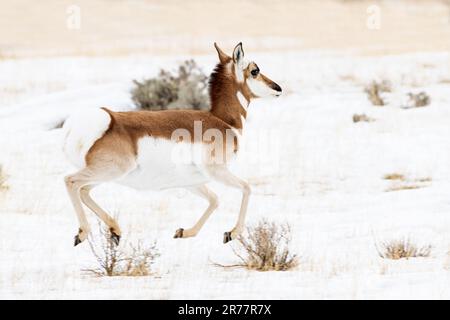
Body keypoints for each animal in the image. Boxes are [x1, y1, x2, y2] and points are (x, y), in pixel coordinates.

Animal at [62, 42, 282, 246]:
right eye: (255, 70)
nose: (278, 88)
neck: (223, 120)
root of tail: (108, 120)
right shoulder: (216, 171)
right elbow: (246, 188)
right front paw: (231, 233)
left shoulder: (192, 182)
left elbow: (214, 200)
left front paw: (183, 232)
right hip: (109, 171)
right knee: (71, 181)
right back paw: (83, 233)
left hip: (107, 175)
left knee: (84, 191)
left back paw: (115, 231)